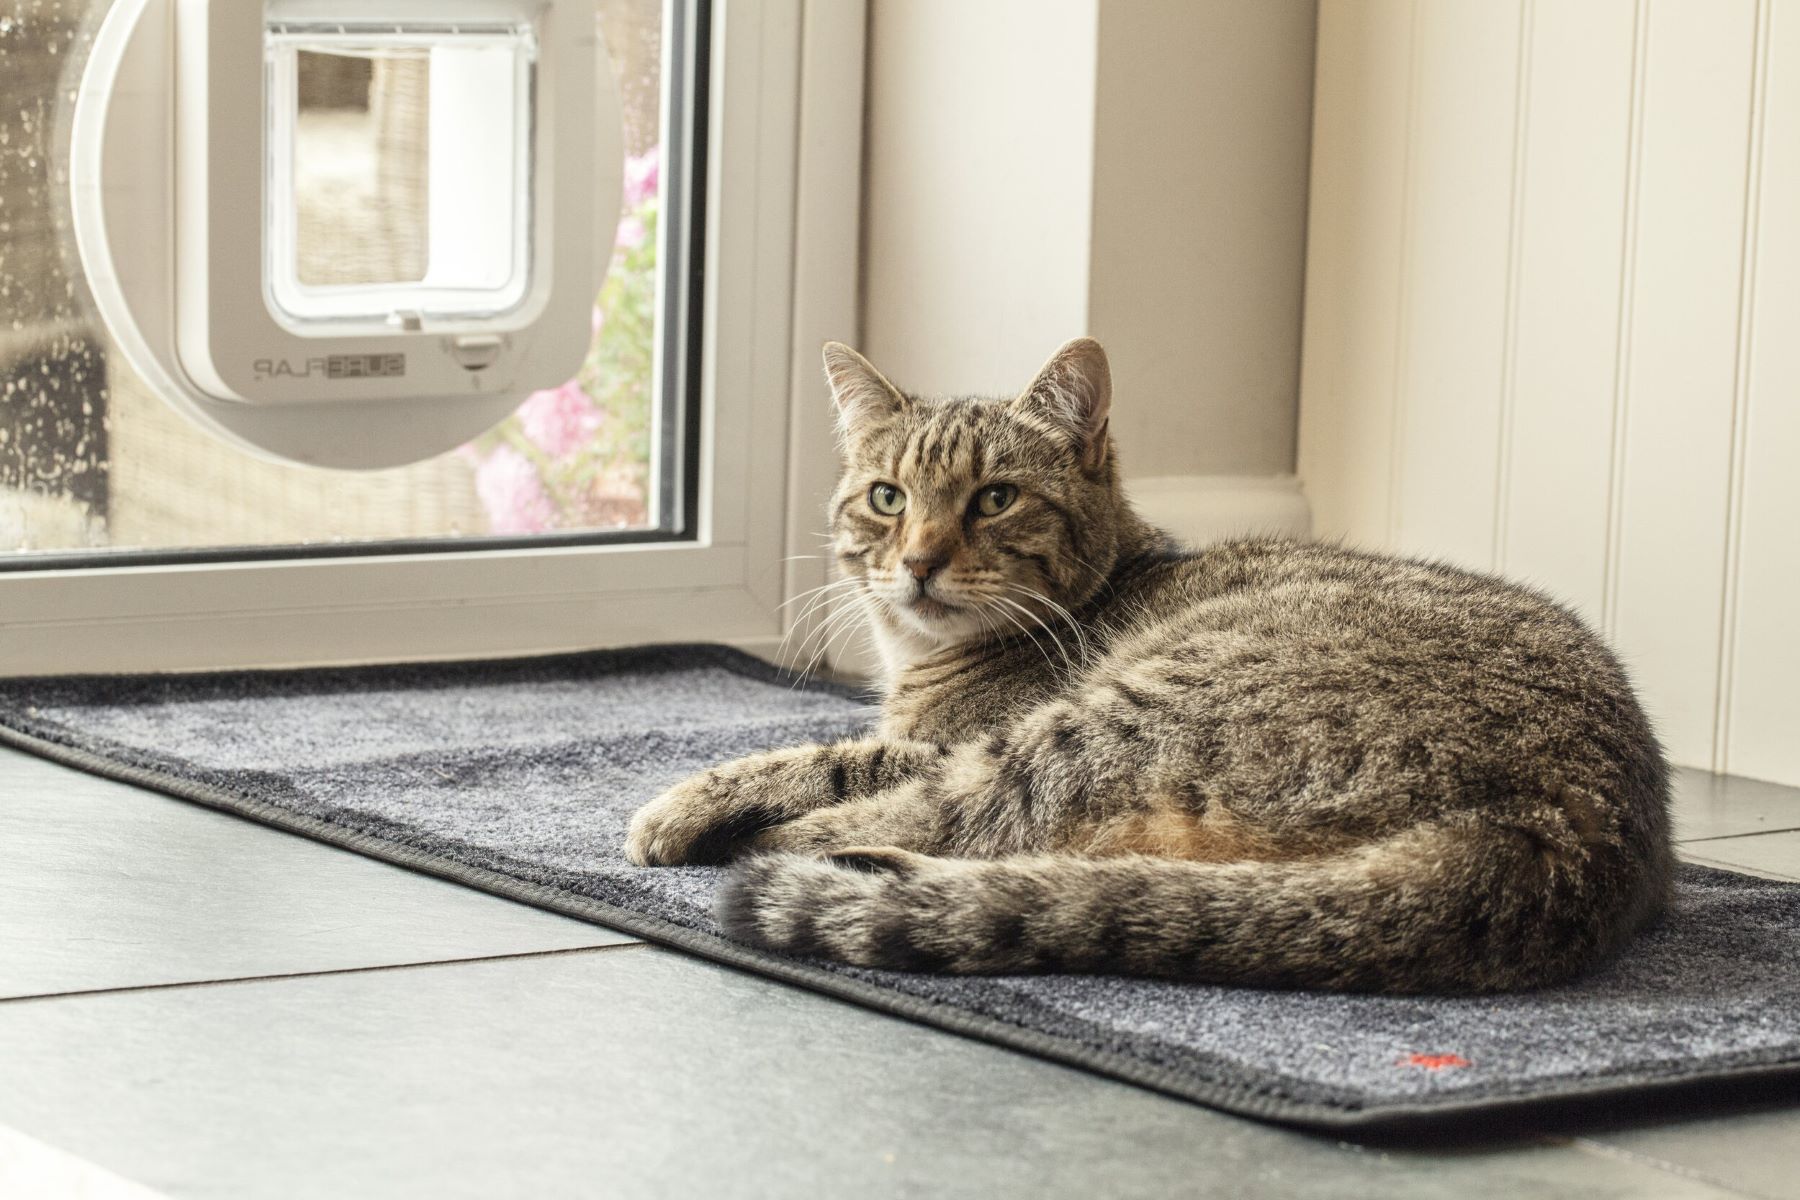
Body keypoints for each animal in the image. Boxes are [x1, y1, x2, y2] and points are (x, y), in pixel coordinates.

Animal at [622, 338, 1670, 993]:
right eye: (887, 498)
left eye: (995, 498)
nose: (917, 561)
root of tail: (1568, 827)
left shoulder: (950, 739)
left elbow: (831, 755)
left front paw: (684, 805)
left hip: (1109, 721)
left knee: (957, 818)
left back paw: (796, 850)